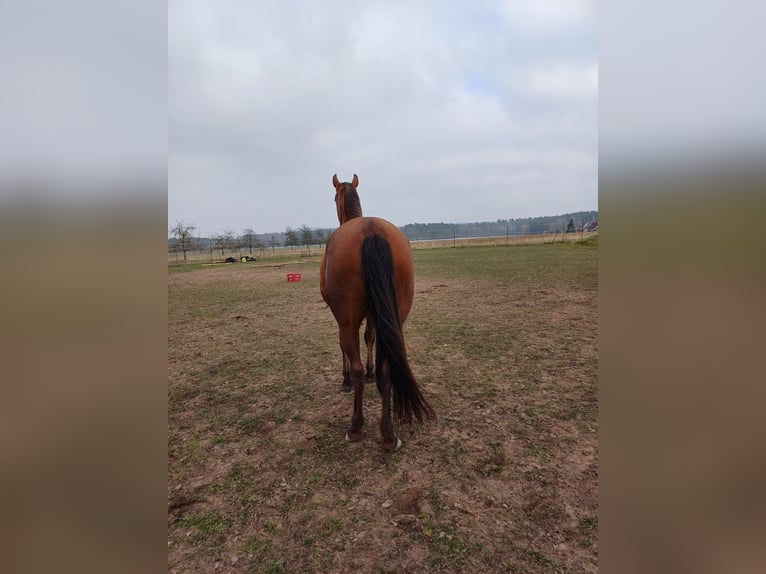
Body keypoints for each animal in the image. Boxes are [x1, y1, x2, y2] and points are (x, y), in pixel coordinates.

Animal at [320, 173, 436, 452]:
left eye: (333, 197)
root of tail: (371, 230)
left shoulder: (341, 319)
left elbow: (348, 351)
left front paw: (345, 379)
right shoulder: (375, 316)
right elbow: (370, 338)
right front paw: (373, 373)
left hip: (347, 321)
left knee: (356, 368)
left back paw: (356, 426)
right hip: (397, 316)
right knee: (387, 368)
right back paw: (388, 433)